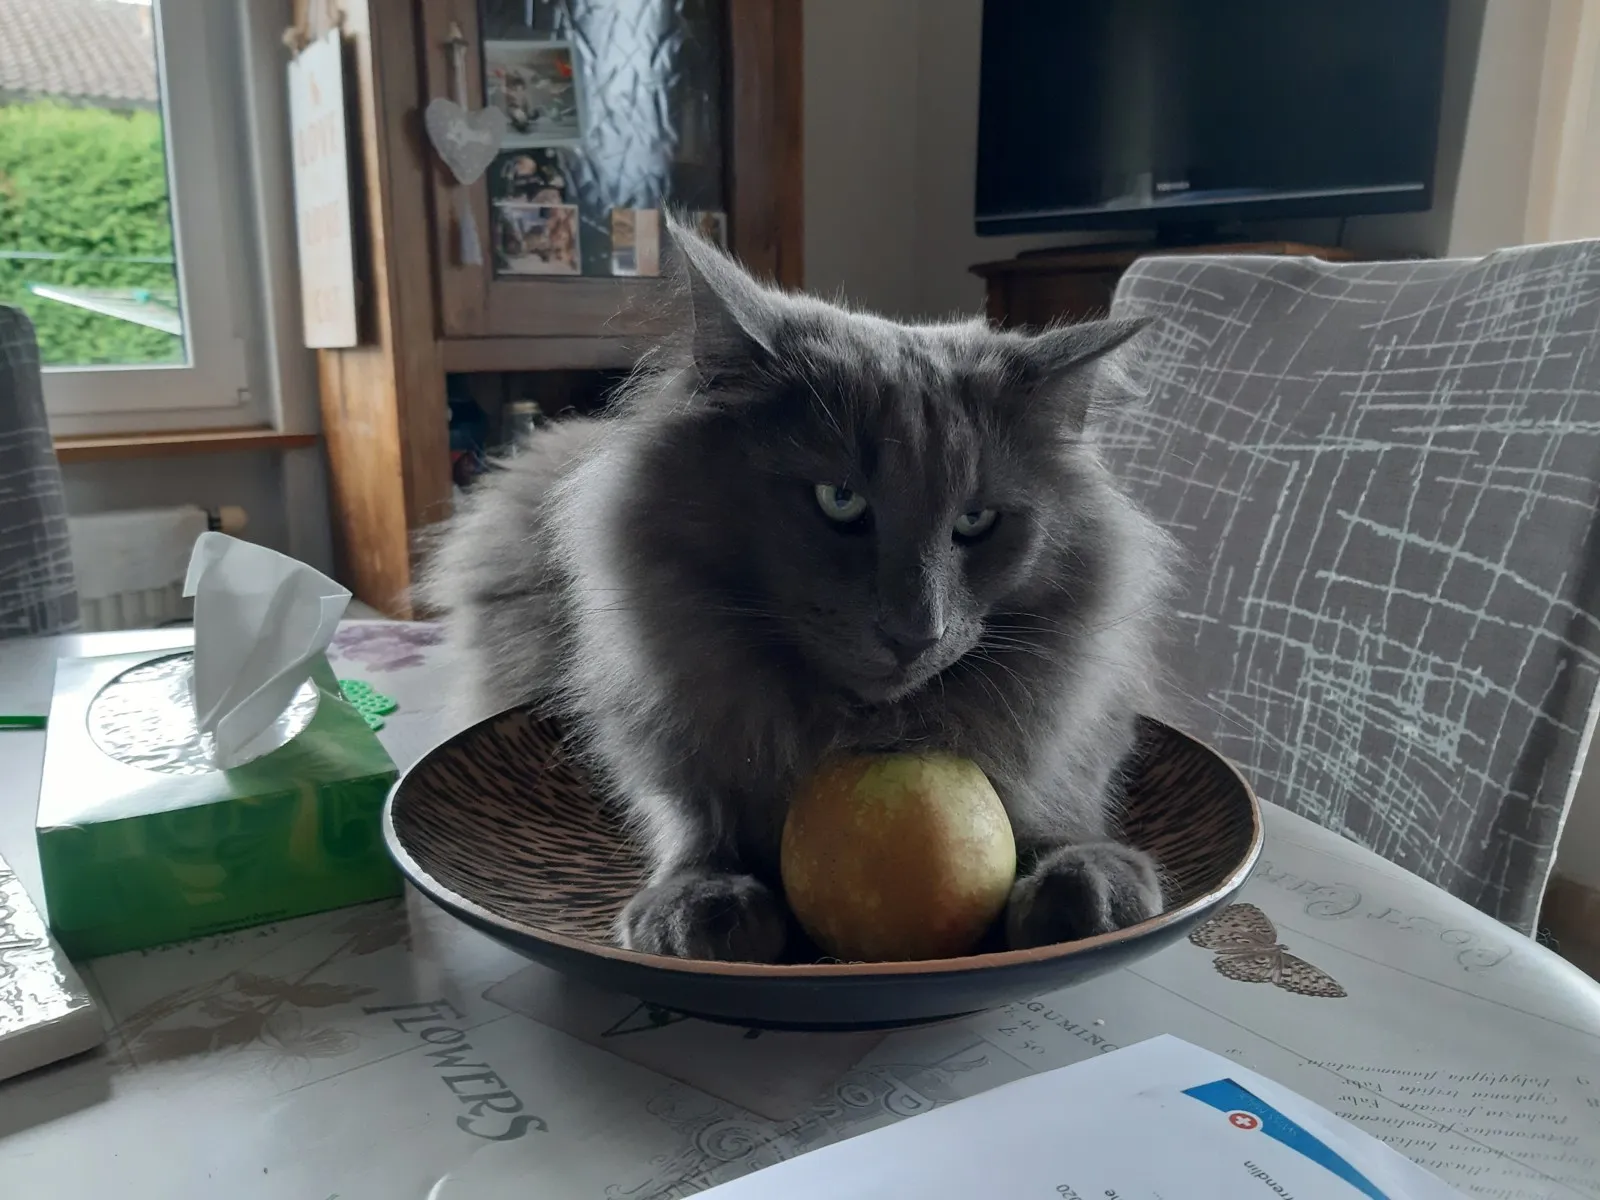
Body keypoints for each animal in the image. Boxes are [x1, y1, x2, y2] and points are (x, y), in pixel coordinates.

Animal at [421, 217, 1175, 962]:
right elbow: (688, 812)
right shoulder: (647, 722)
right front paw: (701, 900)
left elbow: (1062, 795)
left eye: (976, 521)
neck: (852, 729)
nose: (916, 632)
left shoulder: (1086, 717)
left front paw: (1089, 880)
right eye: (839, 501)